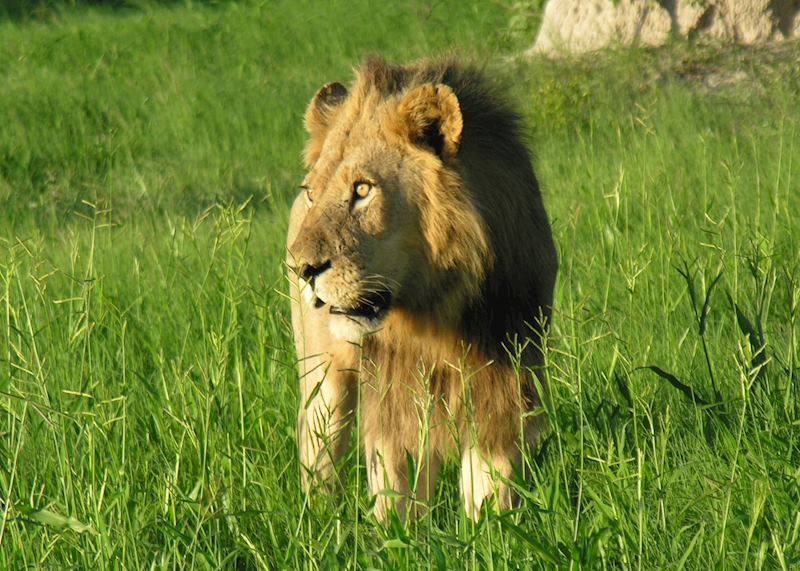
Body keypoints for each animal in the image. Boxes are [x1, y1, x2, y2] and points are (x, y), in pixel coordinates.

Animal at [287, 56, 558, 521]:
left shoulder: (503, 379)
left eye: (363, 189)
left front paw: (490, 528)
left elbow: (491, 486)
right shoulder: (393, 389)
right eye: (311, 193)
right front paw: (397, 531)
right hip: (322, 378)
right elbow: (396, 487)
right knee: (318, 453)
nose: (303, 268)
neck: (436, 306)